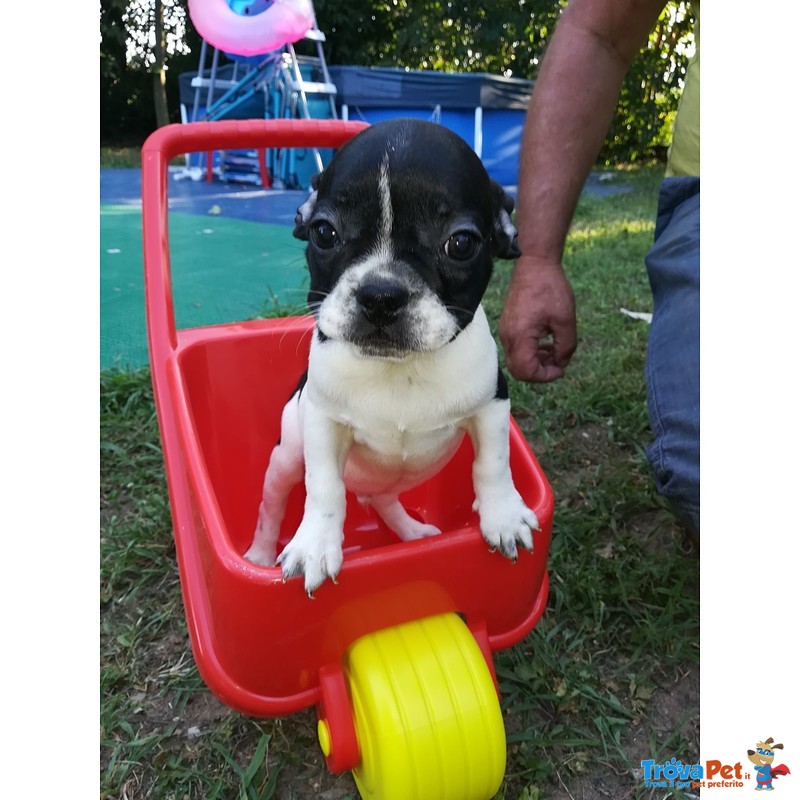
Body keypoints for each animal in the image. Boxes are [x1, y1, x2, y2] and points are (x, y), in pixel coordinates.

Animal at [247, 119, 540, 592]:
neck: (398, 369)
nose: (380, 294)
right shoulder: (322, 420)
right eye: (323, 233)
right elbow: (323, 485)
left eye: (461, 243)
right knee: (272, 503)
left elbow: (493, 462)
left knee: (383, 498)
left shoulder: (492, 403)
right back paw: (258, 554)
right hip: (285, 455)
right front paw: (314, 545)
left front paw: (504, 515)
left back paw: (411, 533)